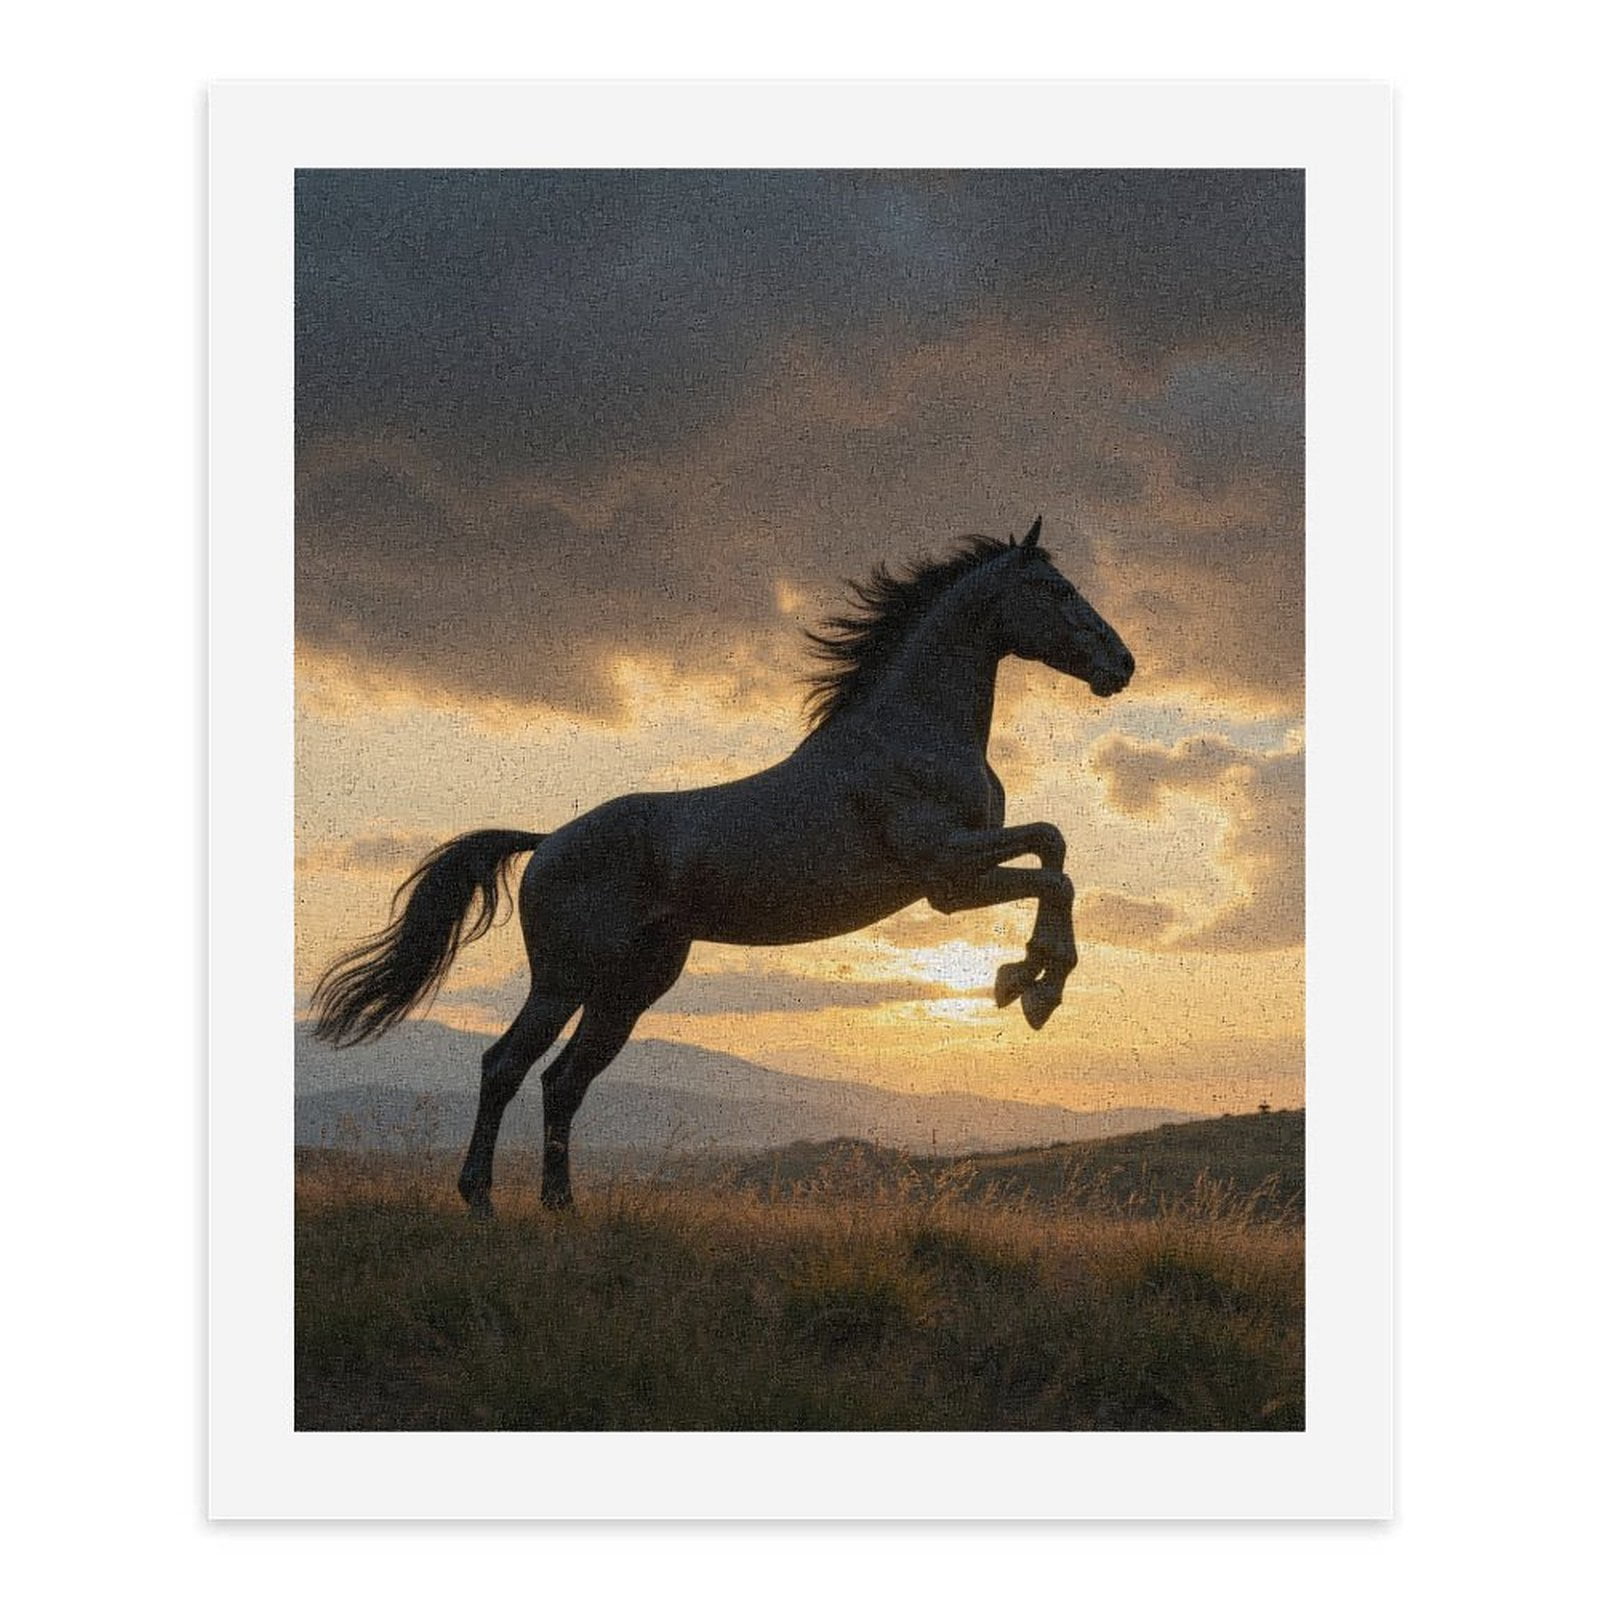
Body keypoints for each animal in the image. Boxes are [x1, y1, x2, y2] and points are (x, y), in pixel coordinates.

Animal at [309, 518, 1135, 1214]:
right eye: (1056, 590)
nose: (1121, 666)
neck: (913, 735)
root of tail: (546, 843)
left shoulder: (956, 880)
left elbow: (1054, 849)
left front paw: (1025, 983)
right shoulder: (944, 878)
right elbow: (1056, 861)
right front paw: (1030, 987)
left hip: (632, 988)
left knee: (564, 1081)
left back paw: (563, 1207)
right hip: (566, 977)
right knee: (504, 1065)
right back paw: (481, 1200)